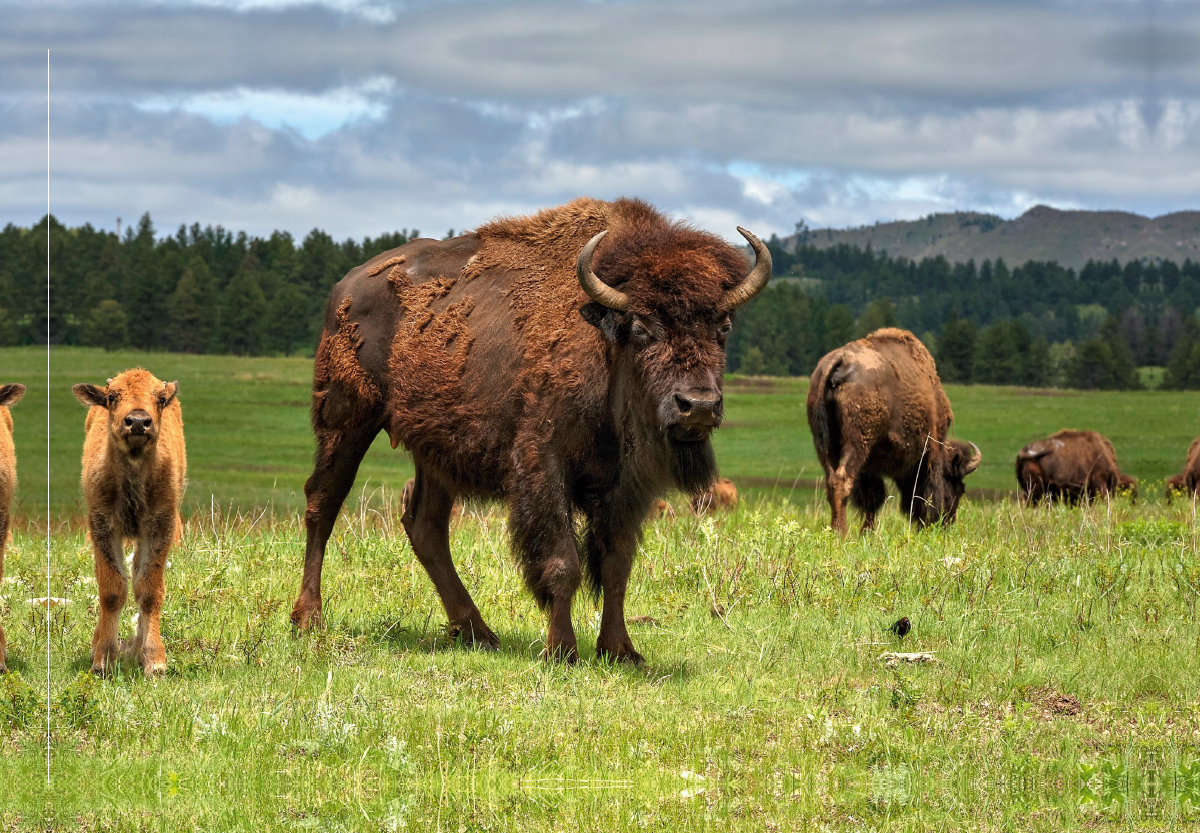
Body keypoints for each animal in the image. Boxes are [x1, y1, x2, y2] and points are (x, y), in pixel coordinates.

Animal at [73, 372, 186, 676]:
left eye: (160, 399)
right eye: (112, 396)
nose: (137, 421)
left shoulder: (159, 526)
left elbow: (148, 590)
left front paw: (154, 662)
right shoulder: (103, 526)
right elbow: (112, 589)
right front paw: (103, 660)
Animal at [290, 199, 768, 662]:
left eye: (722, 327)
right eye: (641, 327)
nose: (698, 406)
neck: (605, 345)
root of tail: (347, 286)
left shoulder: (626, 485)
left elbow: (616, 565)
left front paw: (621, 651)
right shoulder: (544, 464)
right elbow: (563, 561)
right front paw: (562, 650)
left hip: (436, 449)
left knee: (426, 525)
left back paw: (477, 632)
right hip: (346, 417)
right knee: (323, 501)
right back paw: (308, 618)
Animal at [806, 326, 984, 535]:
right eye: (958, 487)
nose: (946, 523)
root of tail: (841, 360)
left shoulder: (870, 467)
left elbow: (873, 500)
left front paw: (867, 533)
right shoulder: (930, 453)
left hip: (824, 443)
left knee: (832, 480)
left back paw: (835, 530)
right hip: (857, 444)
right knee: (843, 480)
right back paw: (841, 534)